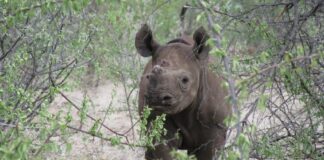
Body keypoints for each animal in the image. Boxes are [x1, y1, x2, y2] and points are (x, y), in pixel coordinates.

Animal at [135, 24, 232, 160]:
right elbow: (163, 150)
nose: (156, 98)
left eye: (185, 80)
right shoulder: (155, 122)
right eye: (148, 77)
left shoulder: (216, 128)